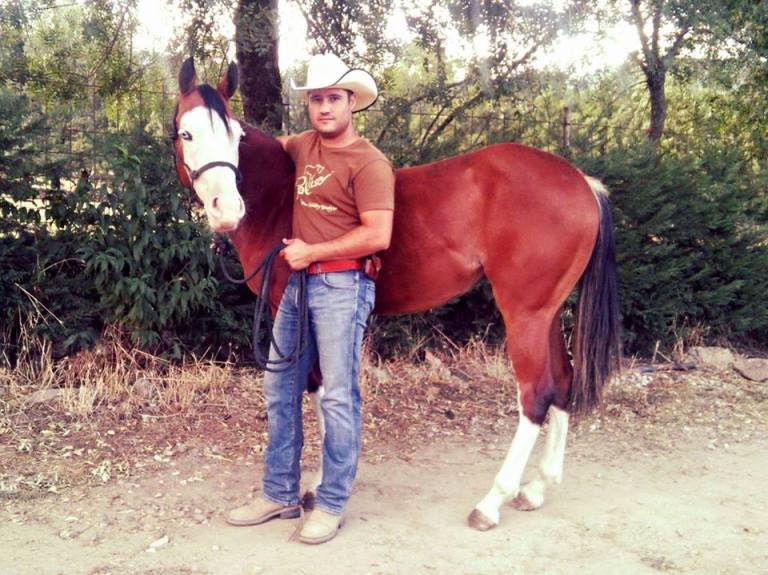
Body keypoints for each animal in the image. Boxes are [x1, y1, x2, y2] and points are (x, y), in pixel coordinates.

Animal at [172, 58, 621, 531]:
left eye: (235, 136)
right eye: (187, 133)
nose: (227, 210)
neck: (281, 196)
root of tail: (582, 182)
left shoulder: (292, 309)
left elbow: (317, 388)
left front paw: (318, 484)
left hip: (525, 315)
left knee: (535, 395)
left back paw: (491, 502)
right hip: (547, 314)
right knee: (563, 381)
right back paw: (537, 488)